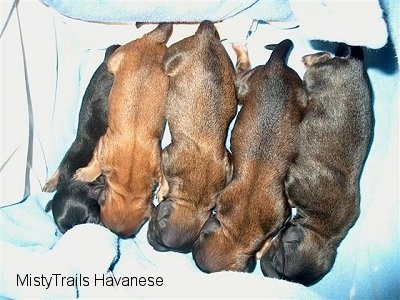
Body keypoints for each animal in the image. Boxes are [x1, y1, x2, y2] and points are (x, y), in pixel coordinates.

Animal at [72, 23, 173, 238]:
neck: (128, 187)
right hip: (115, 61)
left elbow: (163, 175)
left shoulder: (157, 158)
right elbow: (96, 164)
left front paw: (162, 190)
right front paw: (85, 174)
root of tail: (150, 40)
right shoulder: (103, 144)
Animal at [146, 19, 238, 252]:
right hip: (171, 58)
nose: (153, 244)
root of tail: (206, 36)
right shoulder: (167, 155)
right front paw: (162, 189)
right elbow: (163, 173)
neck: (193, 200)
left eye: (153, 231)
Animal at [260, 44, 374, 286]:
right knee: (323, 59)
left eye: (278, 267)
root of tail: (355, 64)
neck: (321, 228)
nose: (266, 272)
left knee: (328, 56)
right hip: (315, 76)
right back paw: (309, 59)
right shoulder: (294, 183)